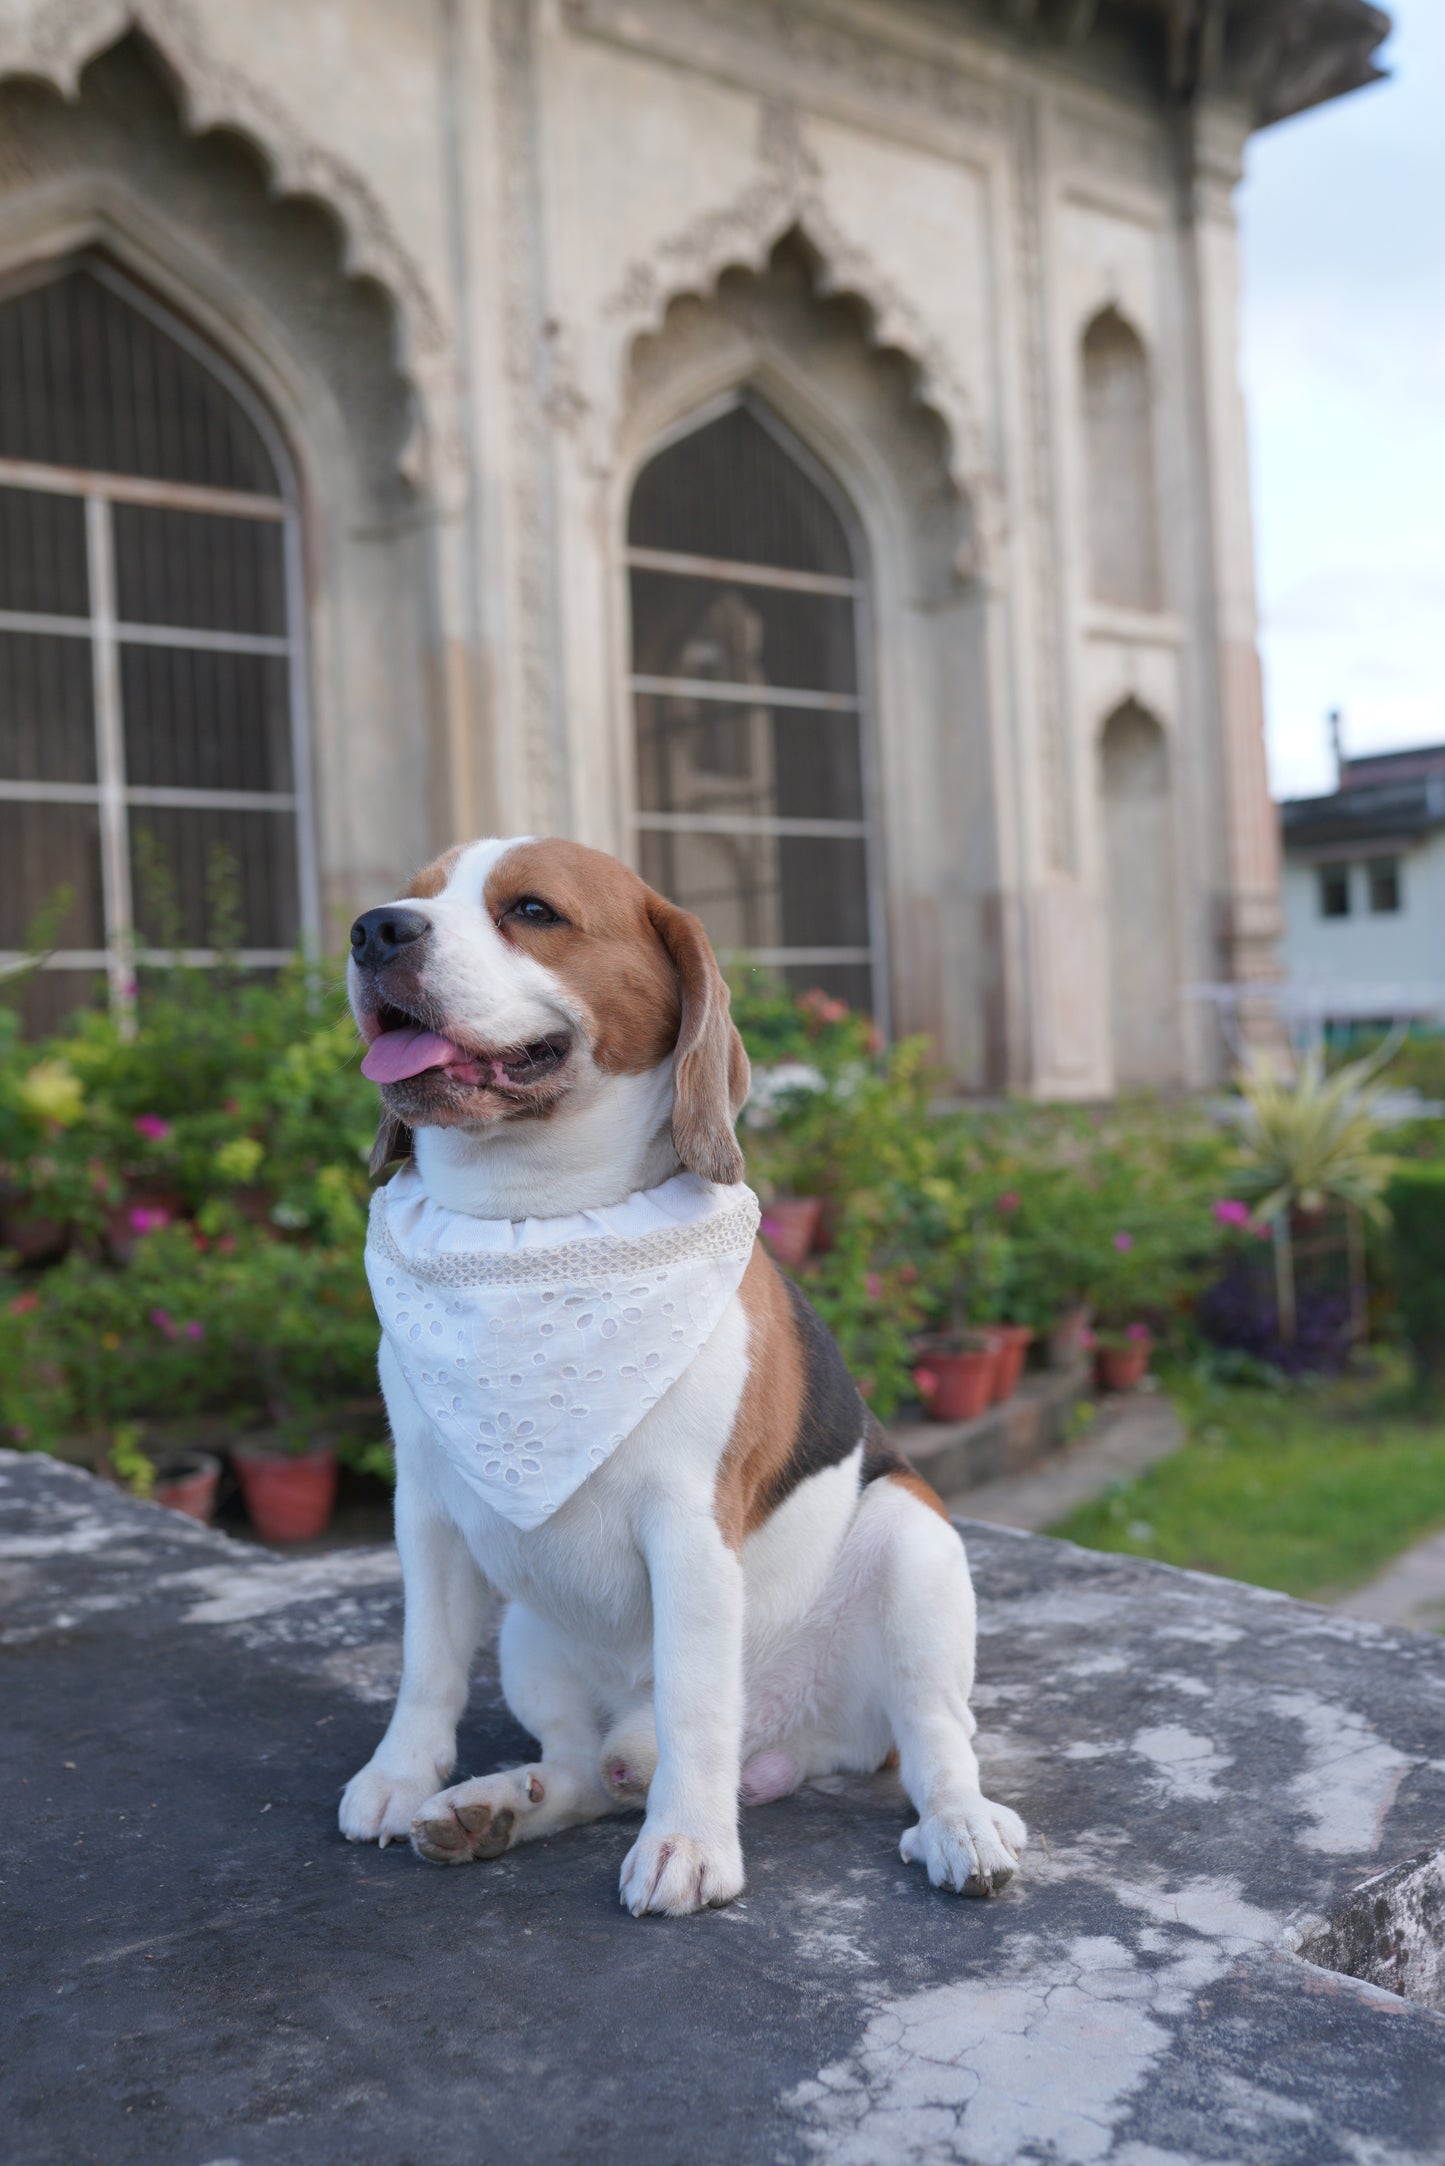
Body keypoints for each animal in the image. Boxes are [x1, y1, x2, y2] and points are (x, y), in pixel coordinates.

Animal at [335, 836, 1026, 1923]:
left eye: (532, 910)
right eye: (414, 894)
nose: (374, 931)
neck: (531, 1224)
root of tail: (790, 1746)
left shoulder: (692, 1528)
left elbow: (697, 1697)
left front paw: (691, 1845)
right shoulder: (428, 1509)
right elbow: (426, 1666)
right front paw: (402, 1776)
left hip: (914, 1545)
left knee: (931, 1742)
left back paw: (960, 1826)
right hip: (531, 1637)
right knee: (585, 1768)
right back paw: (500, 1804)